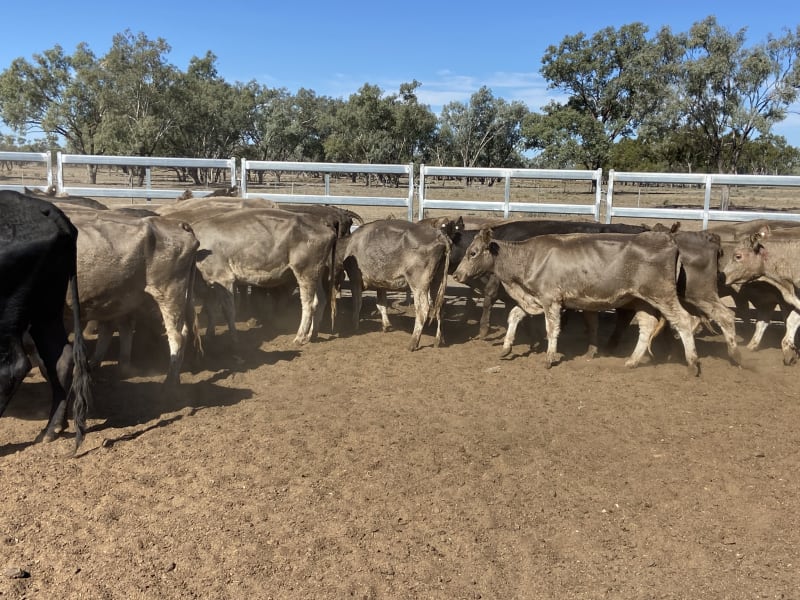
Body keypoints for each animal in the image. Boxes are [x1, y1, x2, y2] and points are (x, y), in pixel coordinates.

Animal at [338, 219, 452, 351]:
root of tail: (439, 235)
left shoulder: (355, 278)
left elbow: (357, 303)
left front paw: (354, 325)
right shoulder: (380, 284)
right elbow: (381, 304)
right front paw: (386, 326)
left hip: (419, 284)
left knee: (423, 309)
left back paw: (413, 342)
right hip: (437, 282)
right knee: (441, 306)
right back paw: (439, 340)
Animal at [453, 228, 700, 374]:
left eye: (473, 253)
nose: (456, 275)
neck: (528, 258)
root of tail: (668, 240)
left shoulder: (550, 300)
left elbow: (552, 328)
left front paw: (550, 357)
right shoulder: (534, 298)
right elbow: (514, 315)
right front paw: (506, 347)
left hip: (662, 294)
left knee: (684, 321)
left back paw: (693, 363)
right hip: (641, 299)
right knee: (647, 326)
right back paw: (632, 361)